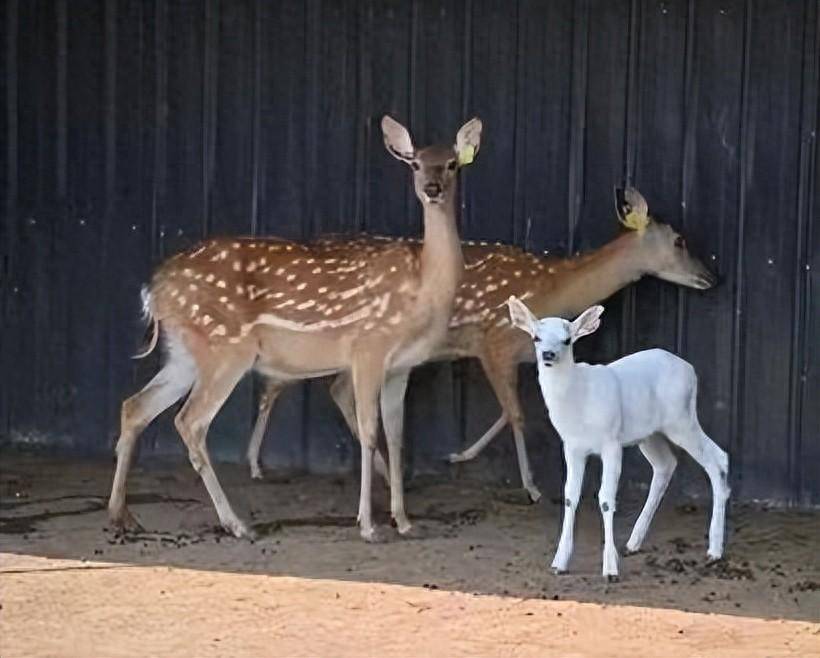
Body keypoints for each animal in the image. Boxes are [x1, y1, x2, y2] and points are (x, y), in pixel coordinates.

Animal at [108, 115, 480, 540]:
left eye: (452, 164)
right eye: (415, 163)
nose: (433, 189)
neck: (424, 290)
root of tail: (154, 290)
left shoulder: (402, 367)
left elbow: (397, 437)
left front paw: (403, 521)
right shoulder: (368, 346)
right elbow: (370, 433)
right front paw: (369, 526)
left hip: (184, 351)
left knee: (135, 407)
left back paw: (121, 515)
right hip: (226, 348)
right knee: (190, 421)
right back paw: (237, 524)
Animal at [245, 187, 716, 500]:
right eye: (679, 239)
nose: (712, 276)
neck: (554, 288)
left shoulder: (514, 355)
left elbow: (507, 413)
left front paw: (459, 456)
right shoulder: (494, 341)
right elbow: (518, 414)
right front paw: (531, 487)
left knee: (329, 389)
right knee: (288, 385)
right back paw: (256, 464)